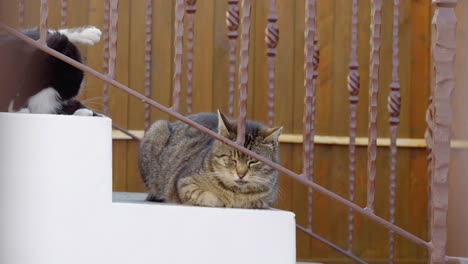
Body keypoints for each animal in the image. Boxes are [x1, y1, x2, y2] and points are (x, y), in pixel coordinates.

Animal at [137, 111, 284, 208]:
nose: (241, 174)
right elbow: (210, 197)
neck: (235, 192)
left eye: (253, 161)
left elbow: (254, 202)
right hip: (157, 128)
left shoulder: (266, 200)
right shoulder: (184, 183)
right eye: (232, 159)